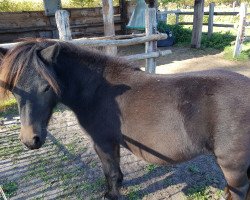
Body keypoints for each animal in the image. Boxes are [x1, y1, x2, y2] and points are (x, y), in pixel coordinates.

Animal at [0, 38, 250, 198]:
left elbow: (109, 171)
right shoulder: (113, 142)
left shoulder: (102, 142)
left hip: (233, 166)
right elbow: (115, 169)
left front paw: (111, 195)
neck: (98, 90)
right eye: (13, 89)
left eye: (46, 87)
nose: (30, 140)